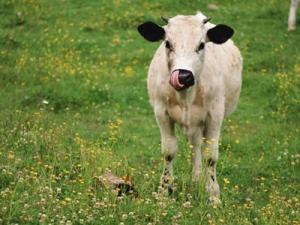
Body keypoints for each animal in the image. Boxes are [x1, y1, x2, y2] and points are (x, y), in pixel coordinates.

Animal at [137, 12, 243, 206]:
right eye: (167, 43)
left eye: (201, 45)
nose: (184, 76)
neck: (186, 96)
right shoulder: (161, 113)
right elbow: (169, 151)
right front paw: (163, 191)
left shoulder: (215, 115)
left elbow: (210, 155)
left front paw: (214, 195)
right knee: (195, 145)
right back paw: (195, 178)